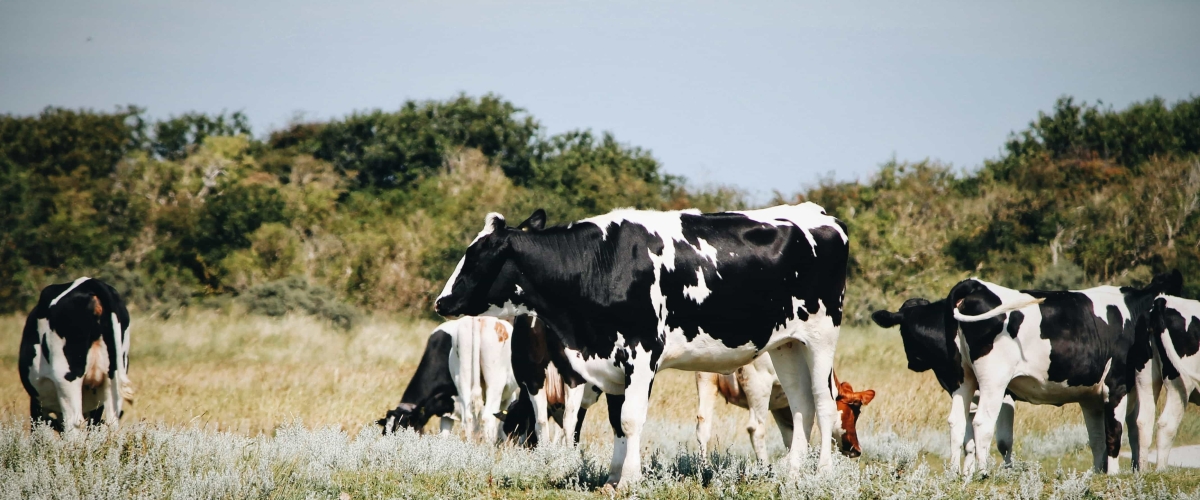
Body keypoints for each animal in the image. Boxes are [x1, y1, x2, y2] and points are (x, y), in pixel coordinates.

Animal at [19, 277, 133, 432]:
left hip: (66, 379)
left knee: (74, 423)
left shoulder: (37, 405)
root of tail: (91, 282)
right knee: (112, 421)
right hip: (113, 379)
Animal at [377, 316, 520, 443]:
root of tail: (478, 321)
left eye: (402, 429)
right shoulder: (446, 409)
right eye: (385, 432)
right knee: (482, 417)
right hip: (484, 383)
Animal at [434, 203, 849, 486]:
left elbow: (631, 419)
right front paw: (613, 477)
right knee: (800, 404)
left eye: (476, 257)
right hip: (787, 344)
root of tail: (821, 215)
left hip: (822, 336)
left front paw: (630, 480)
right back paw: (792, 473)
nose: (441, 302)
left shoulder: (642, 354)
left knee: (824, 404)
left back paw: (823, 473)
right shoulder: (611, 361)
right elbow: (617, 421)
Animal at [695, 357, 875, 461]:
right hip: (758, 386)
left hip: (706, 380)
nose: (857, 449)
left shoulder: (781, 407)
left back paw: (704, 470)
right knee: (756, 429)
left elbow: (792, 437)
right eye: (856, 410)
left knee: (703, 425)